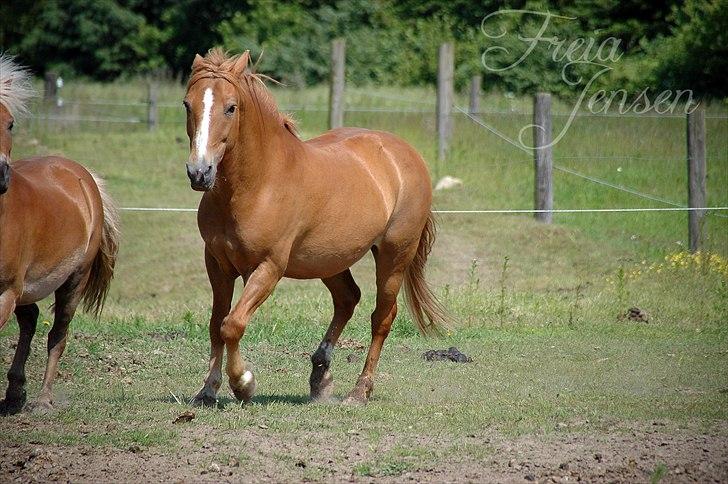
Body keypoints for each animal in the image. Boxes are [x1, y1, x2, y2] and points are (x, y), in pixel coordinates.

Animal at [0, 55, 119, 412]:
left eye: (10, 123)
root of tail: (82, 174)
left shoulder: (4, 293)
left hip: (72, 281)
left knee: (57, 334)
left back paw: (42, 398)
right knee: (30, 321)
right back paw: (15, 391)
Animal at [182, 49, 450, 404]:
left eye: (231, 107)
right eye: (187, 104)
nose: (199, 172)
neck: (259, 184)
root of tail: (405, 153)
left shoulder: (268, 267)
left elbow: (232, 324)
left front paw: (243, 383)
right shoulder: (217, 265)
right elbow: (216, 324)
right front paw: (207, 390)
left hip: (394, 256)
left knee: (382, 317)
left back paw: (360, 390)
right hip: (329, 259)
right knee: (348, 299)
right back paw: (320, 375)